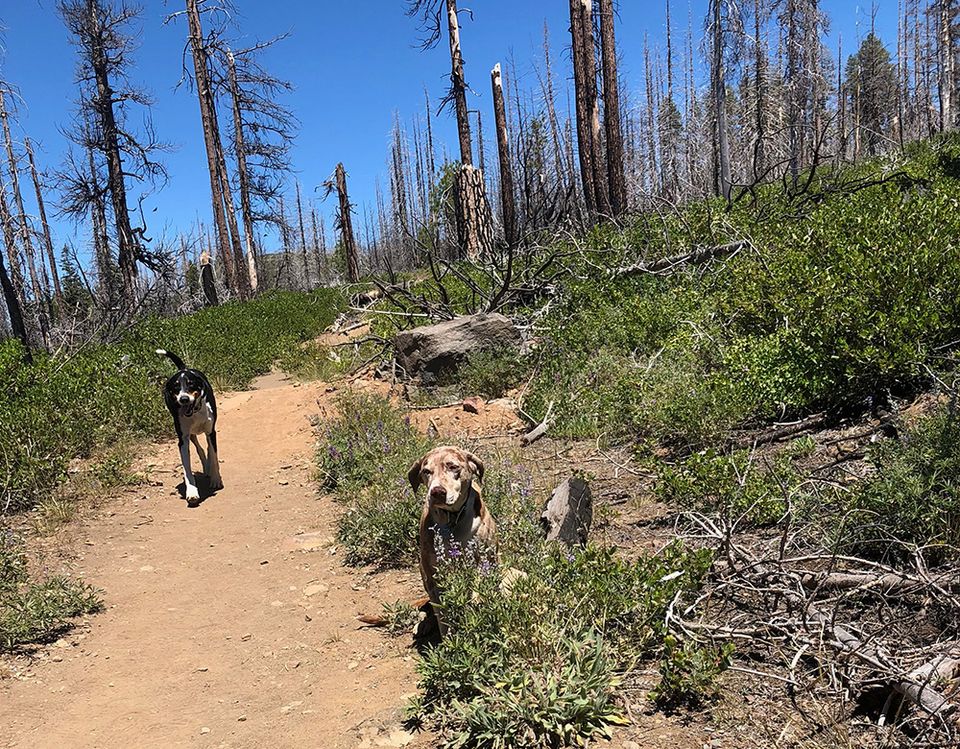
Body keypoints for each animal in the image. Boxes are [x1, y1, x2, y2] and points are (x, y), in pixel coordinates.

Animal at [158, 350, 224, 502]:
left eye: (191, 384)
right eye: (176, 387)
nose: (184, 399)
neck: (195, 411)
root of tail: (184, 368)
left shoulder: (211, 431)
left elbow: (214, 455)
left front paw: (216, 479)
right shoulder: (183, 440)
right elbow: (187, 467)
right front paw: (192, 491)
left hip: (208, 431)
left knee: (208, 447)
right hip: (192, 434)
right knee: (200, 448)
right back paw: (206, 467)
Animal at [406, 444, 498, 608]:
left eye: (453, 467)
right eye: (426, 471)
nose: (437, 492)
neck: (453, 518)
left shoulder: (487, 555)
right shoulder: (432, 572)